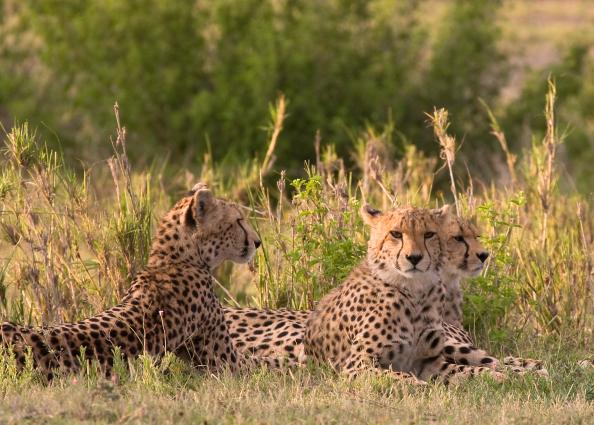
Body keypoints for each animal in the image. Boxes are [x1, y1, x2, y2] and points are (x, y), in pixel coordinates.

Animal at [0, 181, 286, 380]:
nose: (258, 242)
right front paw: (283, 363)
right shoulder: (225, 362)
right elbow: (258, 363)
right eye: (238, 221)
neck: (173, 259)